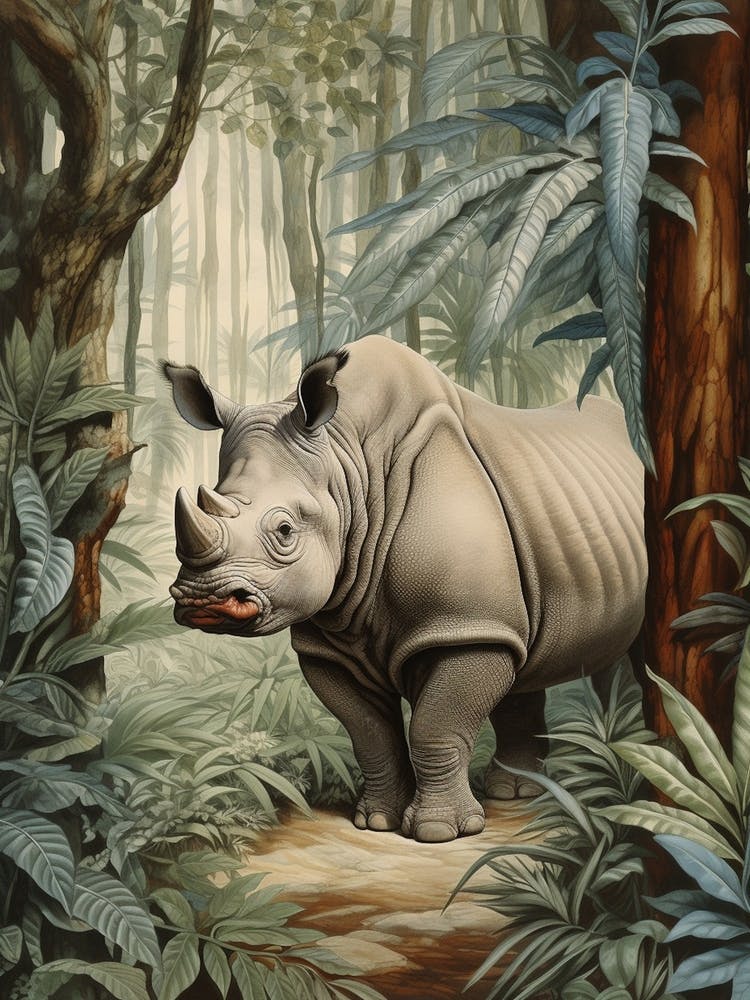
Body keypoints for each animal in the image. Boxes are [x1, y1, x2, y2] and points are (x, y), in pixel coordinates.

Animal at [163, 335, 646, 843]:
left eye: (284, 531)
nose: (203, 601)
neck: (349, 469)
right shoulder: (335, 643)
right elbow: (369, 734)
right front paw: (375, 822)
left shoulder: (462, 627)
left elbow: (435, 726)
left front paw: (439, 832)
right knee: (522, 652)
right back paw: (516, 793)